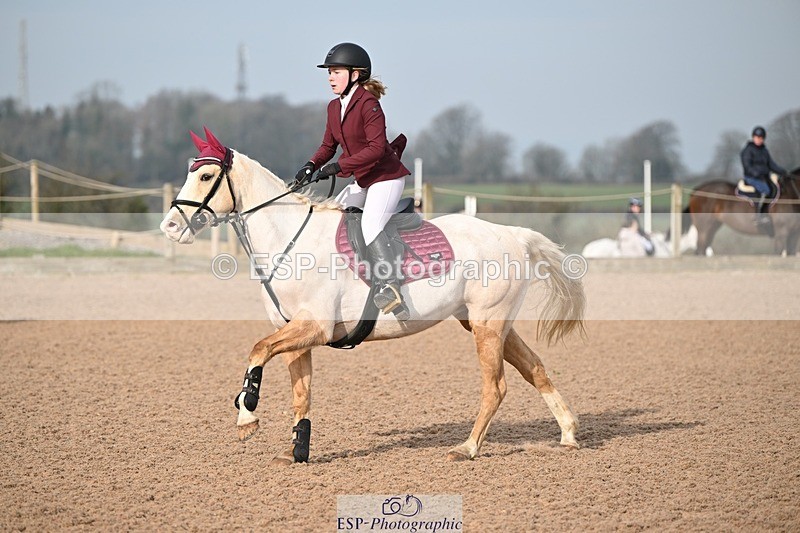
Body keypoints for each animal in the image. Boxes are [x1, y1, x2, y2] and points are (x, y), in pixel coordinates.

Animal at [160, 128, 586, 464]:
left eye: (207, 175)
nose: (169, 226)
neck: (289, 240)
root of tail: (512, 233)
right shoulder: (297, 335)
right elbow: (300, 393)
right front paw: (297, 451)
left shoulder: (314, 327)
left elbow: (258, 350)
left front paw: (246, 415)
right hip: (487, 323)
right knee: (535, 368)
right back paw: (568, 434)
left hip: (488, 324)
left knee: (495, 387)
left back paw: (467, 448)